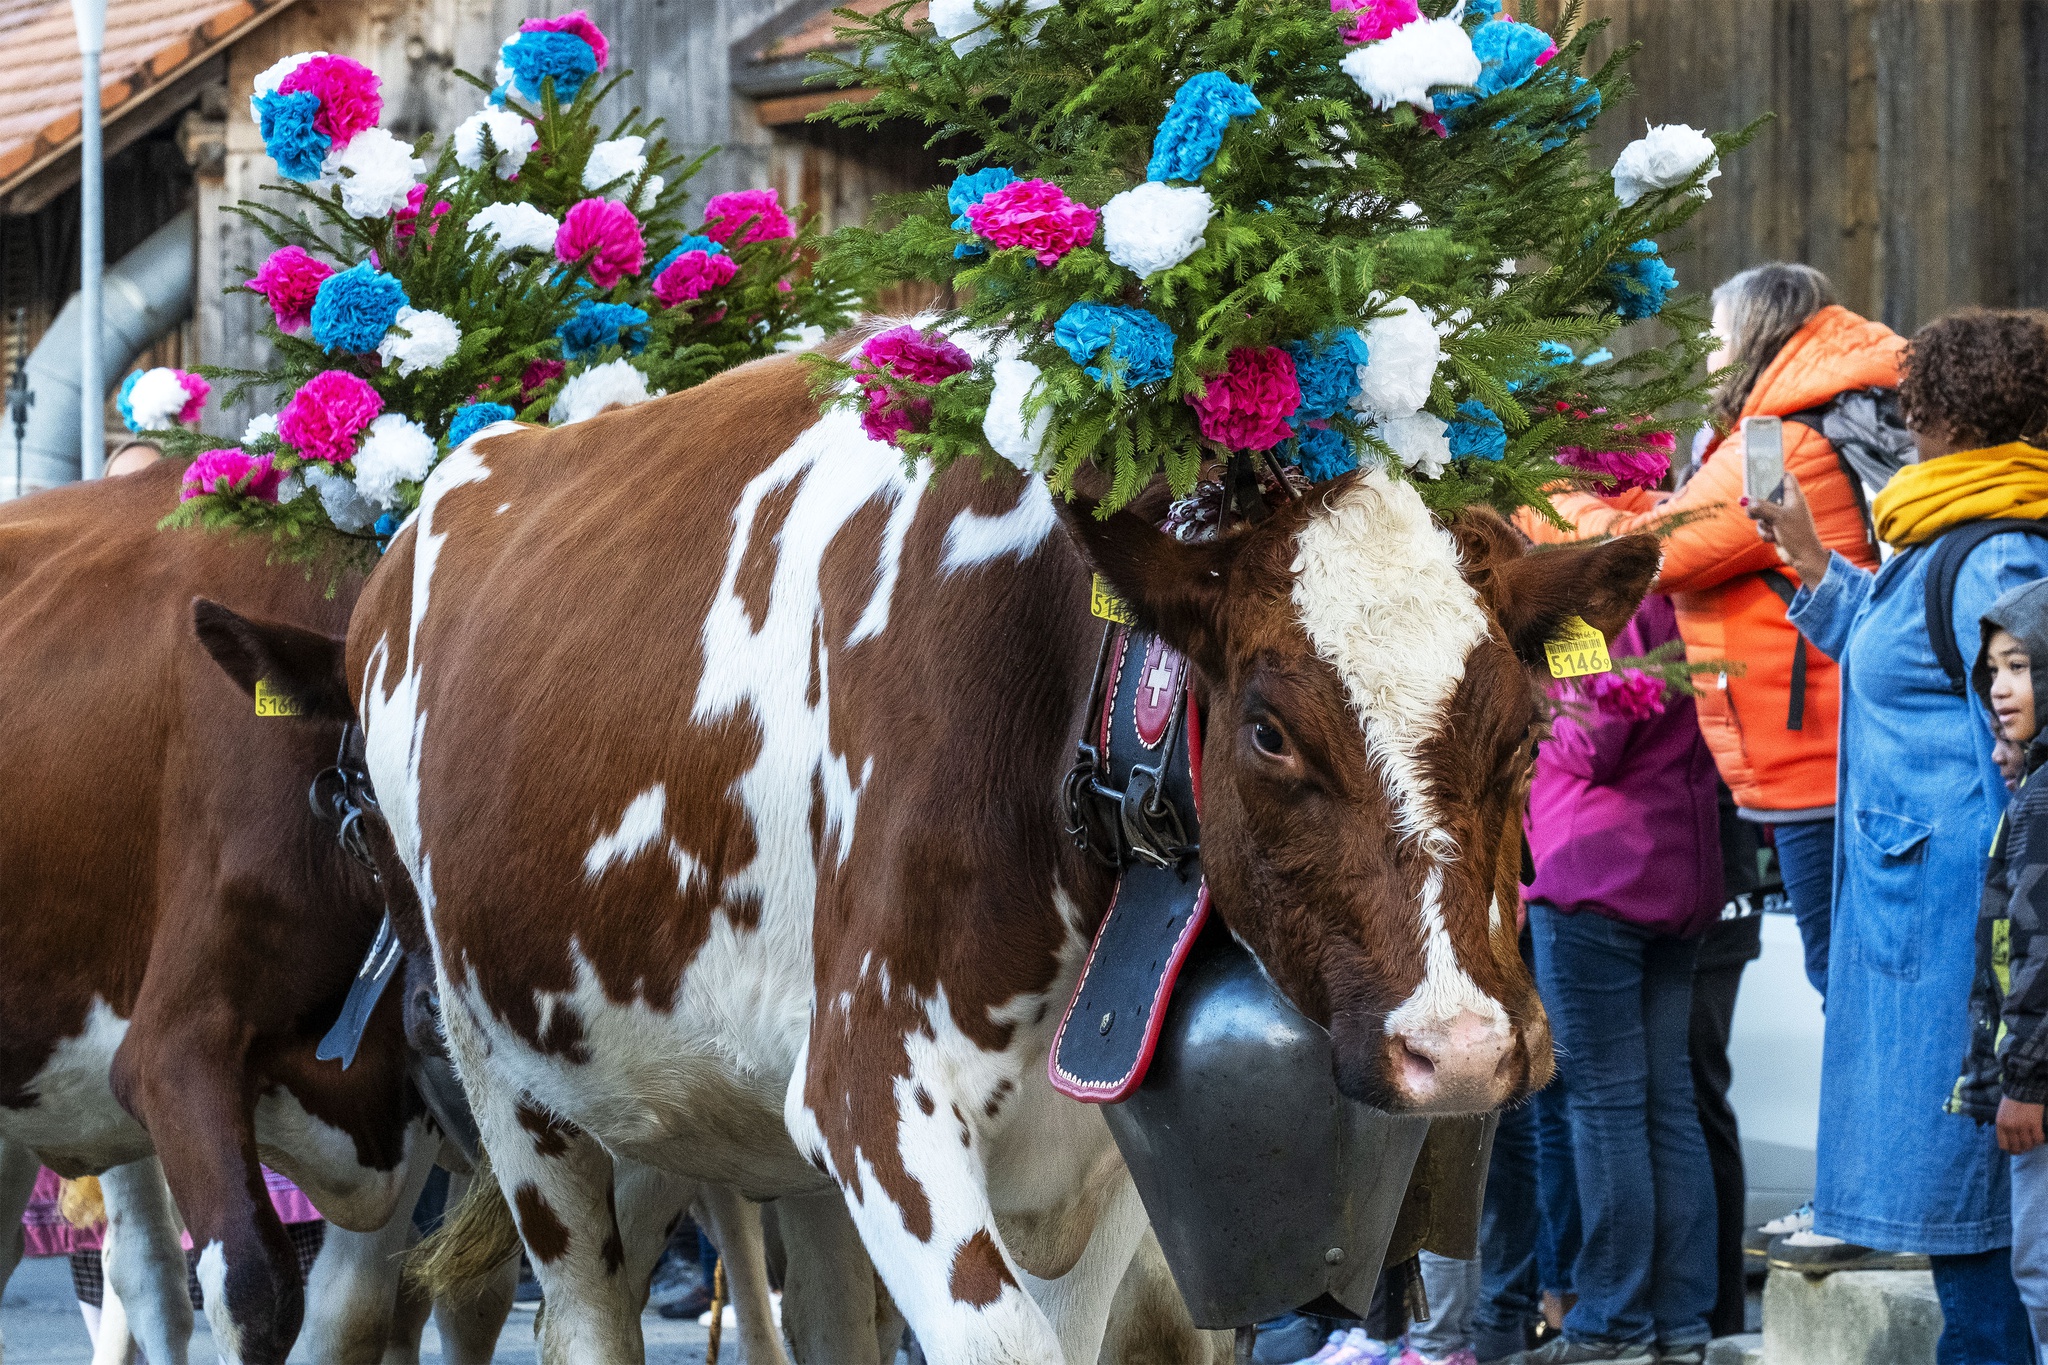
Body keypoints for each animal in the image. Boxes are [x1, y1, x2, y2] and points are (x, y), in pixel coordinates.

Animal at [0, 464, 502, 1364]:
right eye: (380, 768)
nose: (444, 1005)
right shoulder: (173, 1048)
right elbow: (255, 1289)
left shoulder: (414, 1100)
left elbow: (356, 1311)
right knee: (149, 1276)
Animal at [302, 335, 1657, 1364]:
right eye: (1269, 730)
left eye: (1526, 728)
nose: (1462, 1050)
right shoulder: (871, 1095)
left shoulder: (1098, 1162)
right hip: (511, 1089)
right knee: (581, 1313)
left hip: (690, 1102)